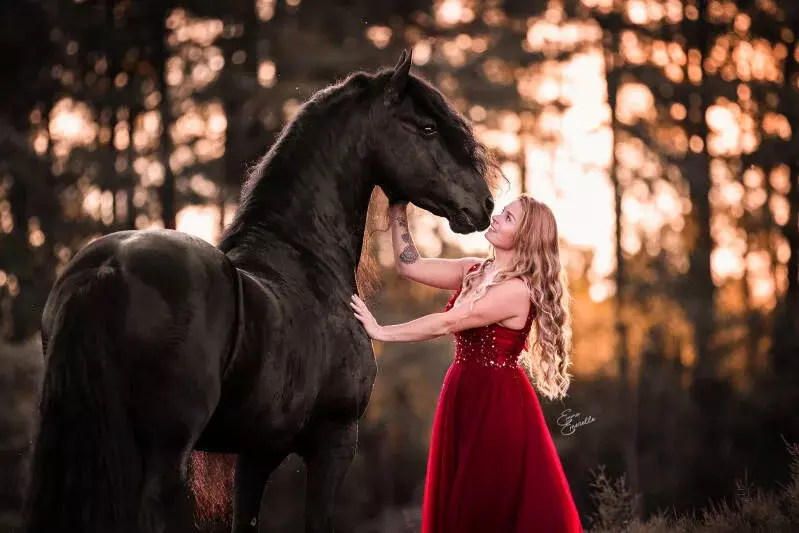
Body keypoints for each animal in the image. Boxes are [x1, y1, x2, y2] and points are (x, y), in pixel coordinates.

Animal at [23, 52, 494, 532]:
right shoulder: (334, 441)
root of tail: (108, 267)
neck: (305, 260)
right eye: (428, 128)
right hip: (161, 456)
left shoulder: (256, 452)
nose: (484, 205)